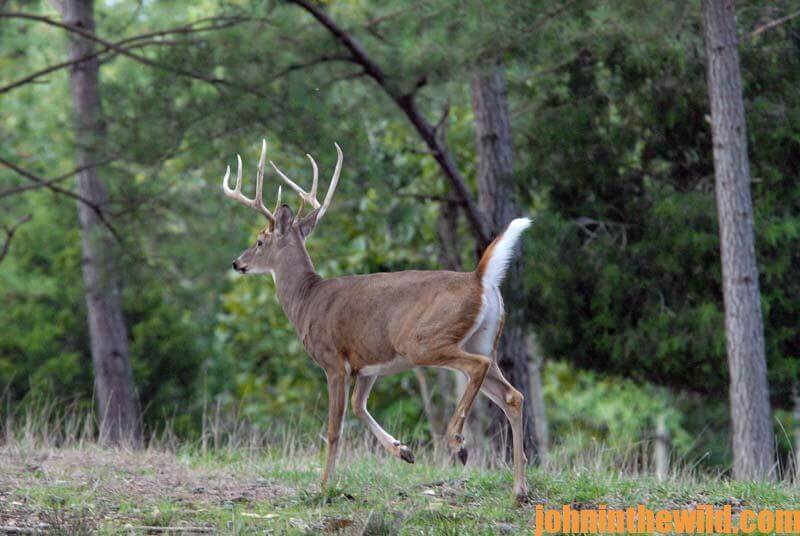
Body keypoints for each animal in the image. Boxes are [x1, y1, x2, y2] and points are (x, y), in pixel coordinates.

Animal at [222, 140, 532, 499]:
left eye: (260, 240)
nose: (237, 262)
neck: (307, 300)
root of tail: (480, 279)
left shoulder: (333, 360)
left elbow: (335, 427)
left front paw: (324, 487)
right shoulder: (368, 363)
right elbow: (359, 406)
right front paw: (403, 450)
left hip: (424, 340)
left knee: (476, 369)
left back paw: (459, 443)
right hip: (483, 341)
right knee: (512, 395)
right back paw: (519, 489)